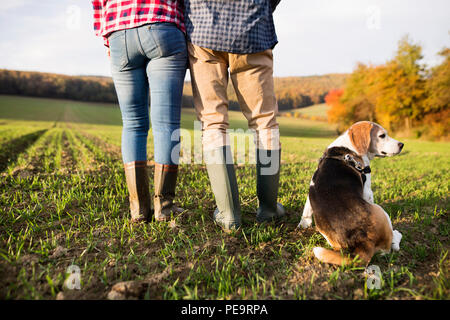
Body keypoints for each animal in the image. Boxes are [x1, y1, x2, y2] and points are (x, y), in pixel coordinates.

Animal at [298, 120, 404, 264]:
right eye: (382, 135)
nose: (402, 145)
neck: (348, 149)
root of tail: (363, 241)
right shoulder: (367, 191)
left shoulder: (312, 185)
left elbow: (306, 209)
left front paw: (304, 224)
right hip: (380, 210)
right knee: (390, 248)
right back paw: (396, 236)